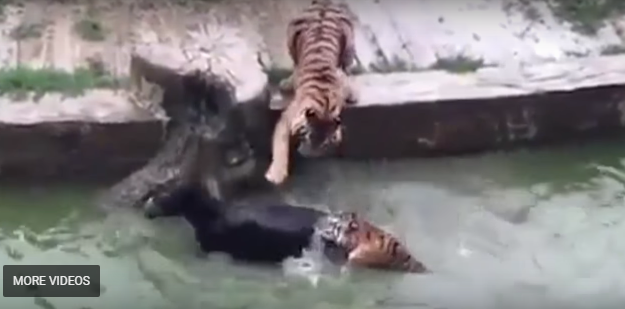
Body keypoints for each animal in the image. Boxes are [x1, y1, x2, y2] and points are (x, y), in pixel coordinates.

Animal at [264, 0, 360, 185]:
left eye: (323, 143)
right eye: (306, 136)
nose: (308, 155)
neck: (325, 106)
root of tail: (324, 3)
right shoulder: (287, 118)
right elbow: (280, 144)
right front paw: (277, 174)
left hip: (349, 42)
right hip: (292, 35)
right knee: (295, 63)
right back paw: (287, 82)